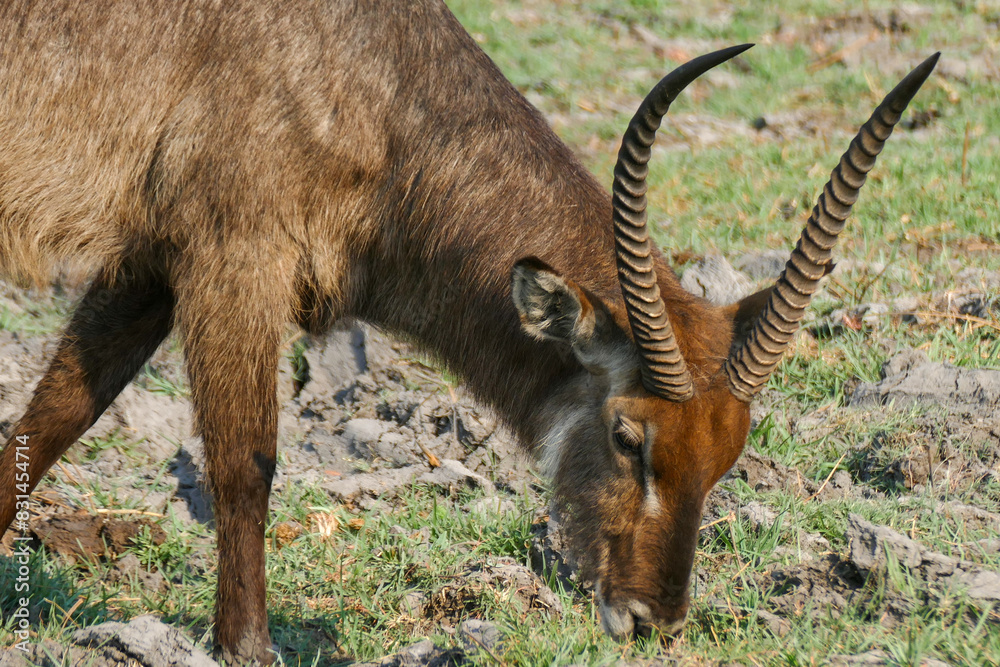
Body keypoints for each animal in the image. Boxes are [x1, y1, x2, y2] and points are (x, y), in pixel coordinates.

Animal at [0, 0, 936, 664]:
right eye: (627, 435)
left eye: (729, 454)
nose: (652, 619)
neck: (376, 84)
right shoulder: (230, 258)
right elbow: (244, 464)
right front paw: (246, 647)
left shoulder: (146, 268)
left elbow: (50, 420)